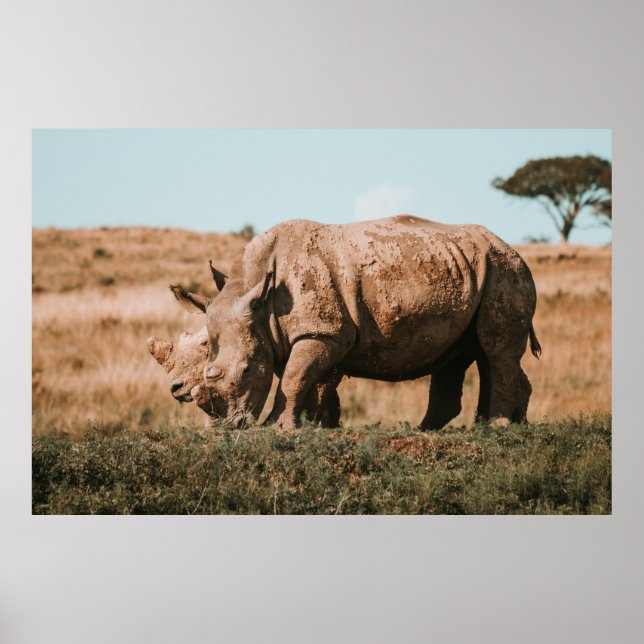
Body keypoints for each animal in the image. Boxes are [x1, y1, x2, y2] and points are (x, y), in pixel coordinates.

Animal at [173, 215, 541, 430]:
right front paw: (313, 427)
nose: (226, 427)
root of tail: (511, 248)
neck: (258, 297)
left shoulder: (322, 332)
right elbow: (303, 379)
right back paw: (466, 428)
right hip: (473, 269)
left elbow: (293, 378)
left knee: (495, 351)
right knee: (468, 353)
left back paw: (498, 427)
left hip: (504, 271)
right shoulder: (285, 335)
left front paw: (276, 428)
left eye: (247, 370)